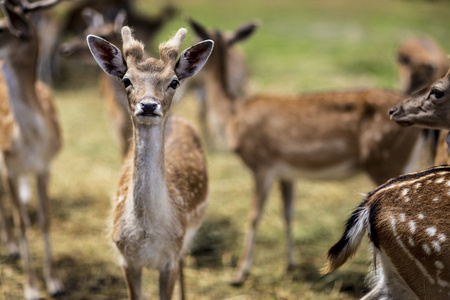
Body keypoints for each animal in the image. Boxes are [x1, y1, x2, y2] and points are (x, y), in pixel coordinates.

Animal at [88, 27, 214, 298]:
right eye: (126, 80)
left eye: (174, 81)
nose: (148, 105)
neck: (146, 234)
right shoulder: (126, 259)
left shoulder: (170, 257)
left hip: (186, 240)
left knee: (185, 262)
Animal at [189, 19, 426, 288]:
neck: (232, 116)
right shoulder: (286, 172)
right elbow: (288, 213)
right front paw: (290, 265)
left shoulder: (261, 163)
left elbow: (254, 216)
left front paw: (239, 275)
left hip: (385, 160)